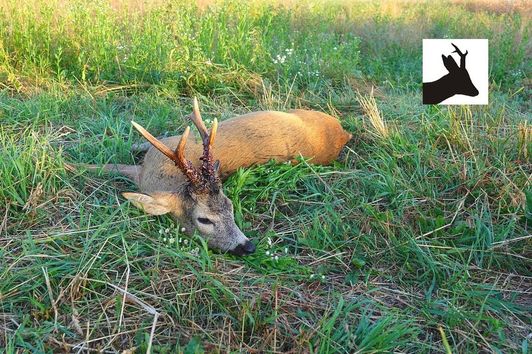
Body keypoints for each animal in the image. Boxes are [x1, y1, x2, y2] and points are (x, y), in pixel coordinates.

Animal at [96, 98, 354, 256]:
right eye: (204, 220)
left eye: (230, 207)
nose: (248, 246)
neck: (156, 175)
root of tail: (343, 133)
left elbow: (104, 165)